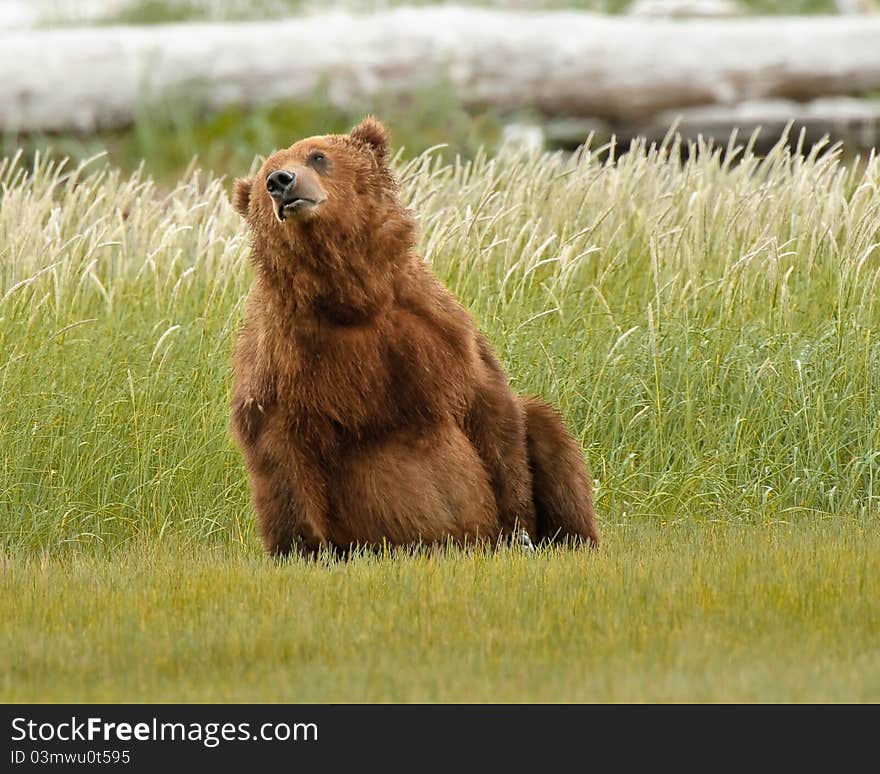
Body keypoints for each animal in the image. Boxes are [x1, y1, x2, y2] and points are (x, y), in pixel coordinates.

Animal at [229, 116, 600, 556]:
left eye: (317, 156)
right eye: (267, 172)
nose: (281, 181)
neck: (353, 296)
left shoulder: (434, 325)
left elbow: (488, 403)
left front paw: (520, 529)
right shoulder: (283, 356)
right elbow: (278, 445)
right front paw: (307, 547)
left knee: (545, 426)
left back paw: (570, 540)